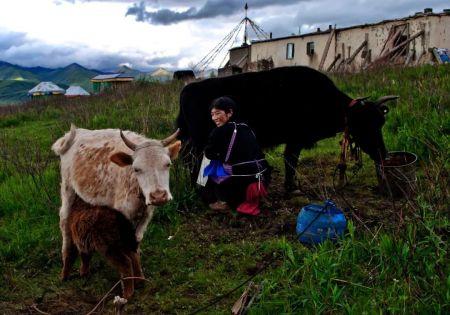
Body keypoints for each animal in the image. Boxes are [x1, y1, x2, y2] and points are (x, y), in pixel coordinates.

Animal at [51, 126, 181, 260]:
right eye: (136, 169)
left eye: (168, 164)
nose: (158, 196)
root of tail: (75, 132)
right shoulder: (123, 212)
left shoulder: (146, 216)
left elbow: (137, 240)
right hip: (67, 187)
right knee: (64, 218)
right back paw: (66, 253)